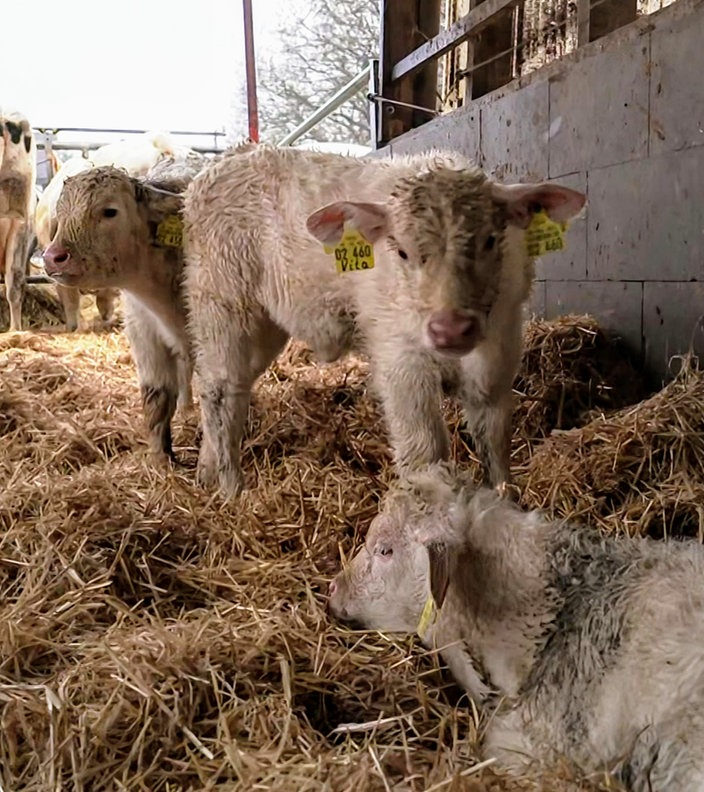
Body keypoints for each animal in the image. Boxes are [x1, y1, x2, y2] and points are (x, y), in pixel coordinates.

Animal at [182, 145, 584, 498]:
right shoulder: (401, 362)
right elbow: (424, 451)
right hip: (223, 305)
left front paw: (506, 497)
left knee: (229, 388)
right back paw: (232, 490)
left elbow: (495, 443)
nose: (450, 329)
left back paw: (206, 473)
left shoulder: (500, 355)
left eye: (489, 241)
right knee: (220, 393)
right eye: (402, 252)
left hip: (261, 326)